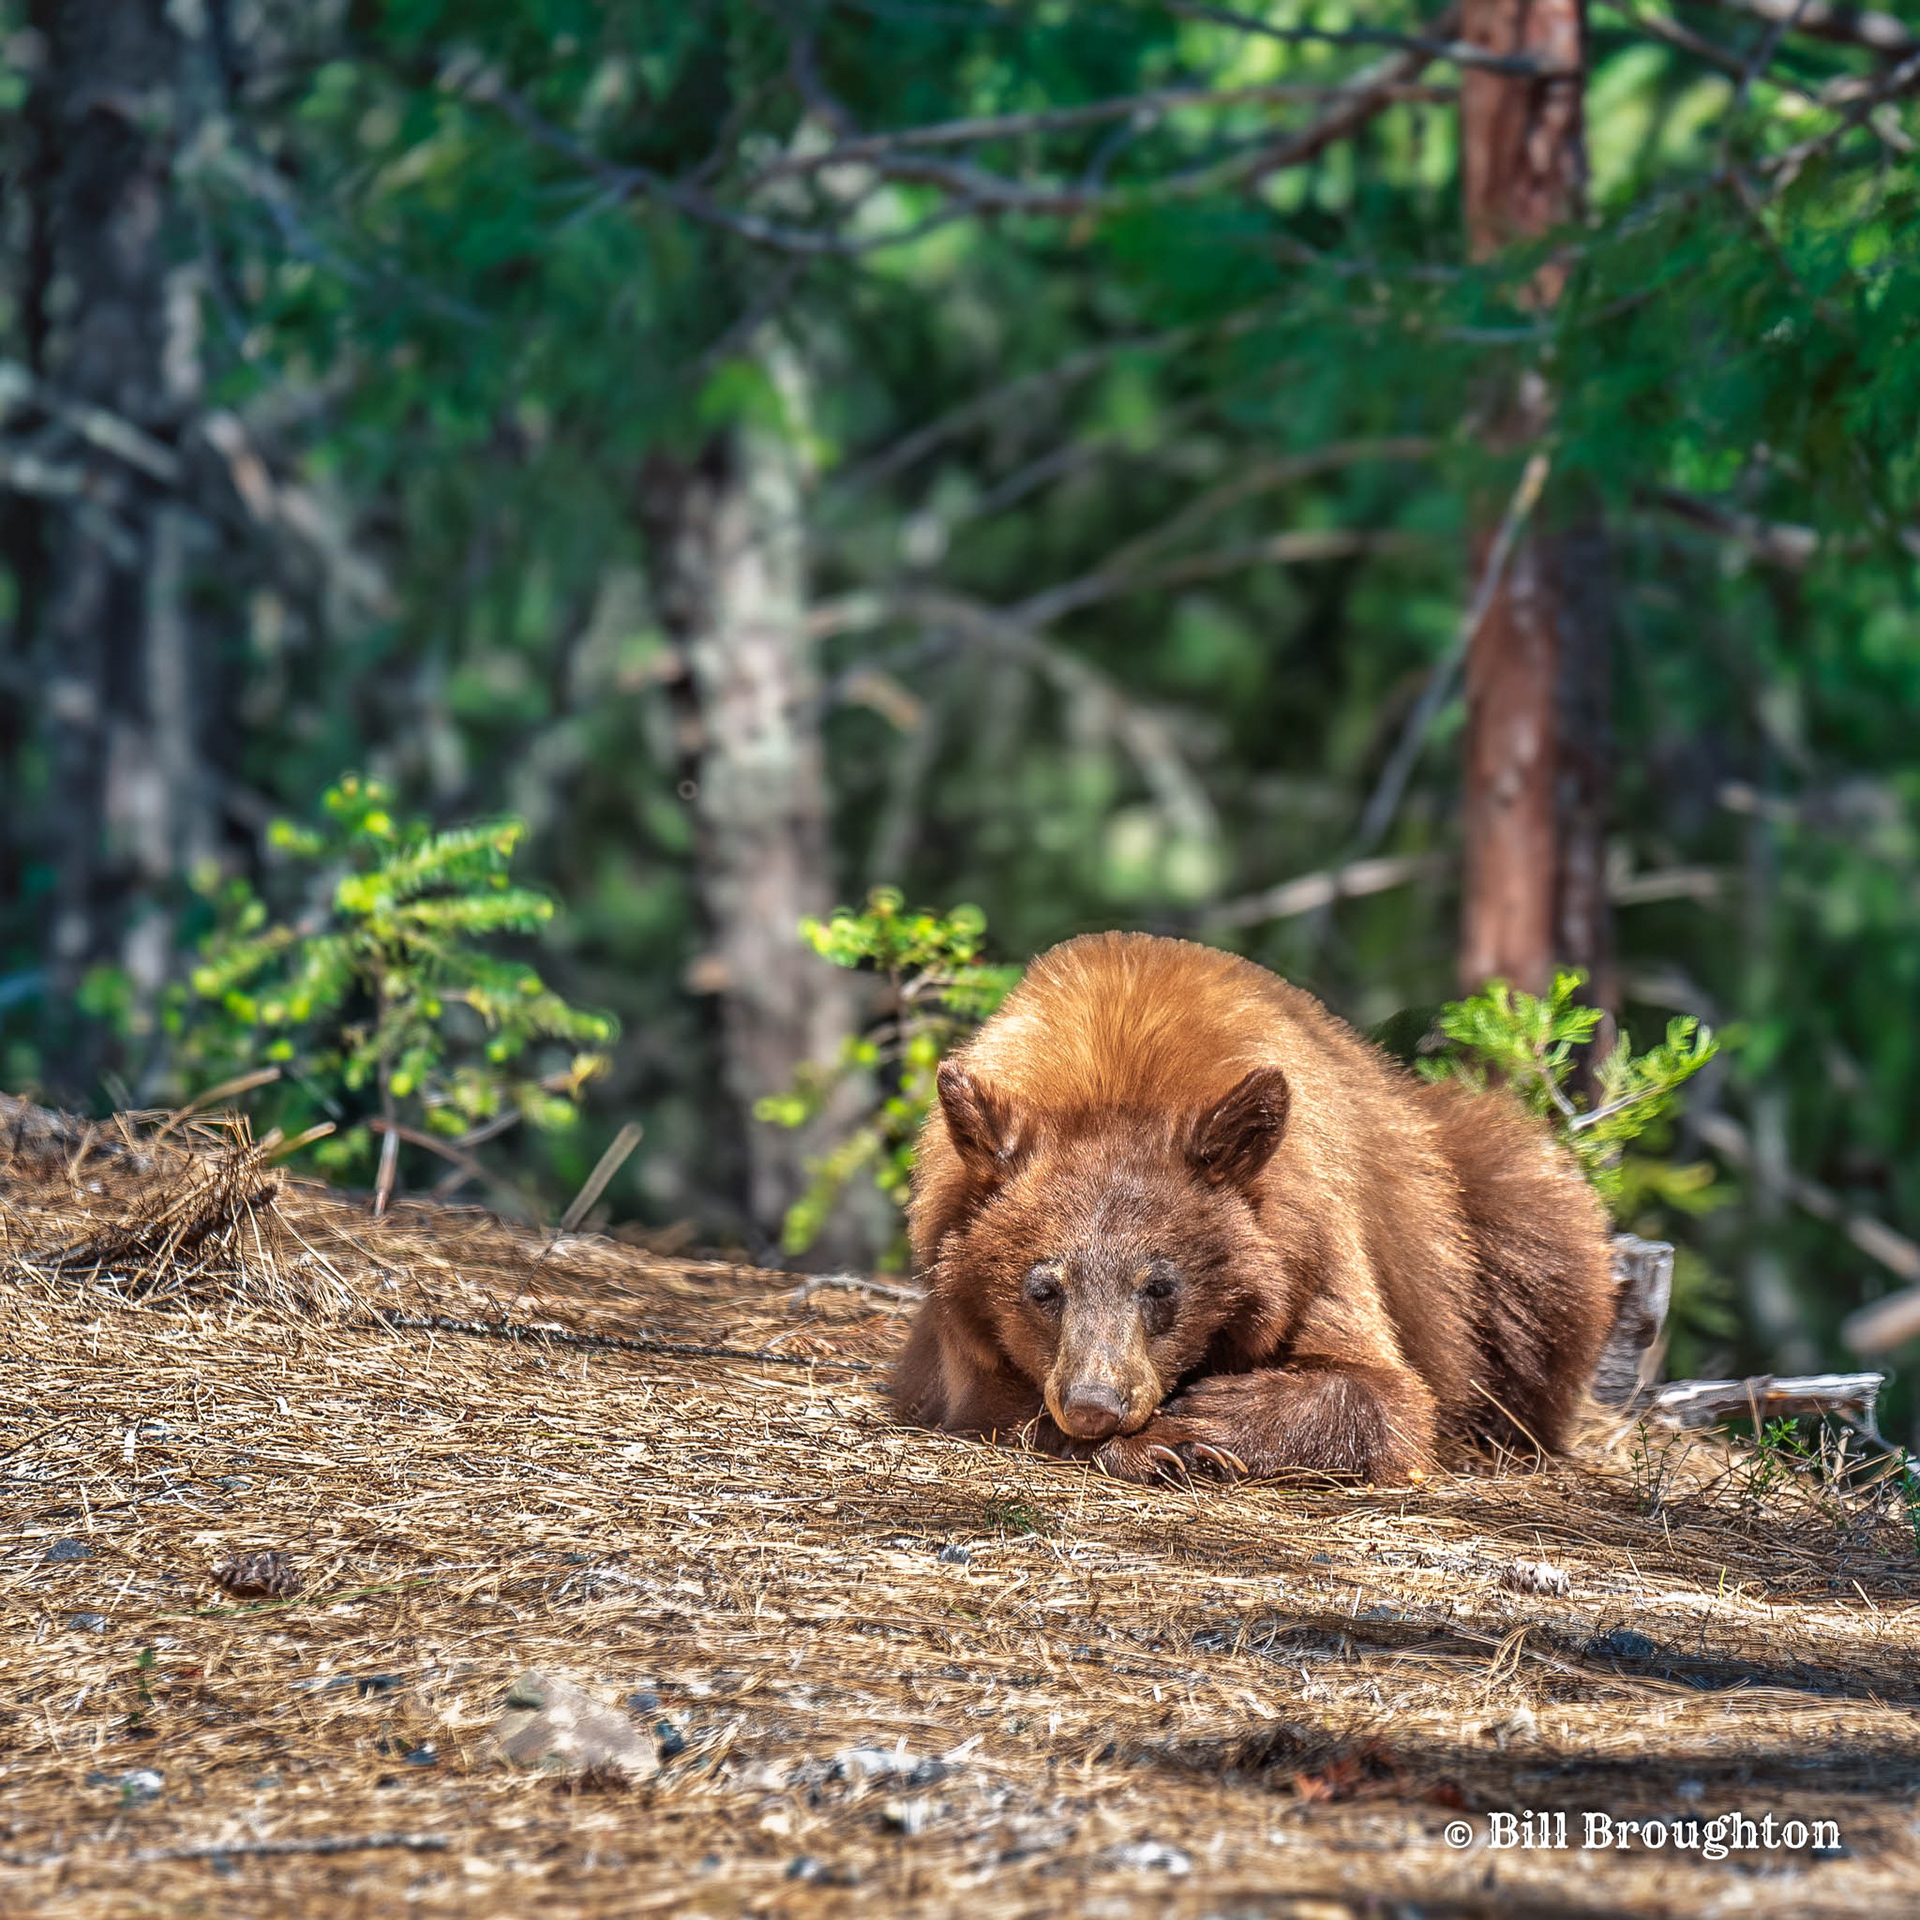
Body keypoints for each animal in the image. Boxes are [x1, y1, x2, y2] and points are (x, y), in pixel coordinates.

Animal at [892, 931, 1616, 1485]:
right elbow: (987, 1395)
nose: (1095, 1403)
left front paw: (1205, 1418)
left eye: (1160, 1285)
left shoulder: (1312, 1239)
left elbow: (1383, 1390)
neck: (1119, 1075)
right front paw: (1155, 1444)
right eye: (1043, 1288)